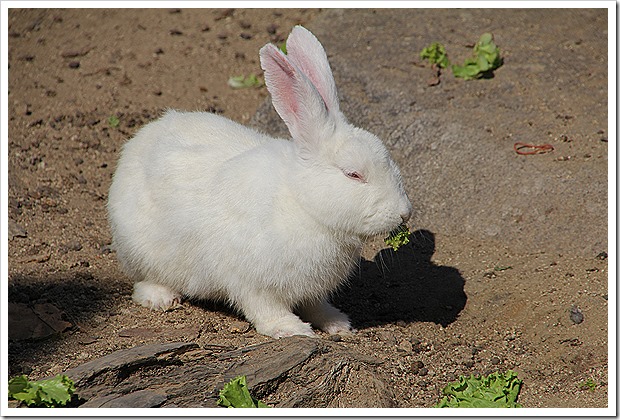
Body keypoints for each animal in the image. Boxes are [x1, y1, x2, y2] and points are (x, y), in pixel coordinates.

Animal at [108, 25, 412, 338]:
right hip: (140, 250)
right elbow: (265, 308)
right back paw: (161, 297)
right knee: (144, 281)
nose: (405, 212)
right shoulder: (253, 283)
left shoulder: (312, 291)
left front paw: (337, 323)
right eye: (353, 174)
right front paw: (291, 329)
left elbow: (316, 305)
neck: (303, 203)